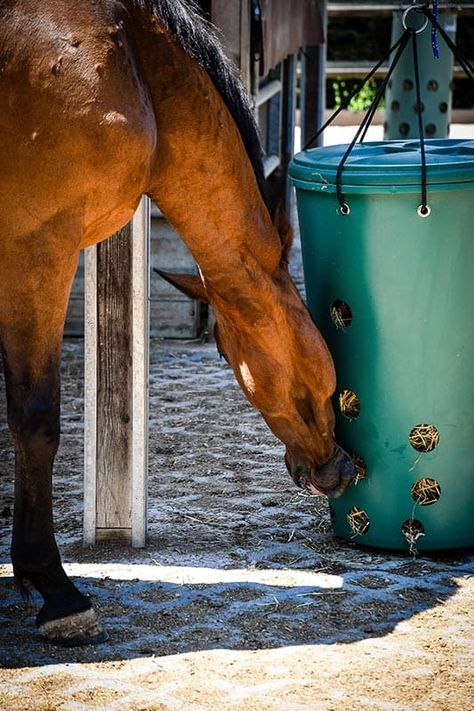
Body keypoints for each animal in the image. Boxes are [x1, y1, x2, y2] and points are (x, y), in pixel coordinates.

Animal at [0, 0, 356, 644]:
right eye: (223, 353)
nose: (337, 469)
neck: (134, 60)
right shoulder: (35, 251)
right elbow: (35, 421)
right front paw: (56, 591)